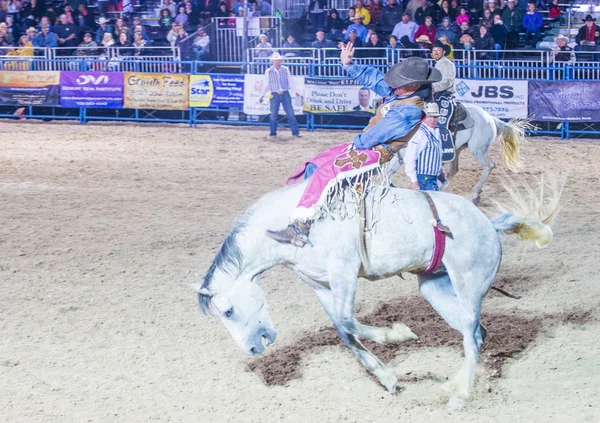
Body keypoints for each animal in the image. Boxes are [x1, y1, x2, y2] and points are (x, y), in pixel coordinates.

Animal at [195, 180, 560, 410]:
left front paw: (397, 334)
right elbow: (344, 331)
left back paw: (460, 396)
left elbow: (348, 320)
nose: (253, 349)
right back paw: (465, 383)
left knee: (471, 339)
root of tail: (487, 224)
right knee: (477, 335)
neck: (293, 226)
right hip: (436, 289)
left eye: (228, 311)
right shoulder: (322, 286)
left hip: (468, 285)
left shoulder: (344, 271)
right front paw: (387, 377)